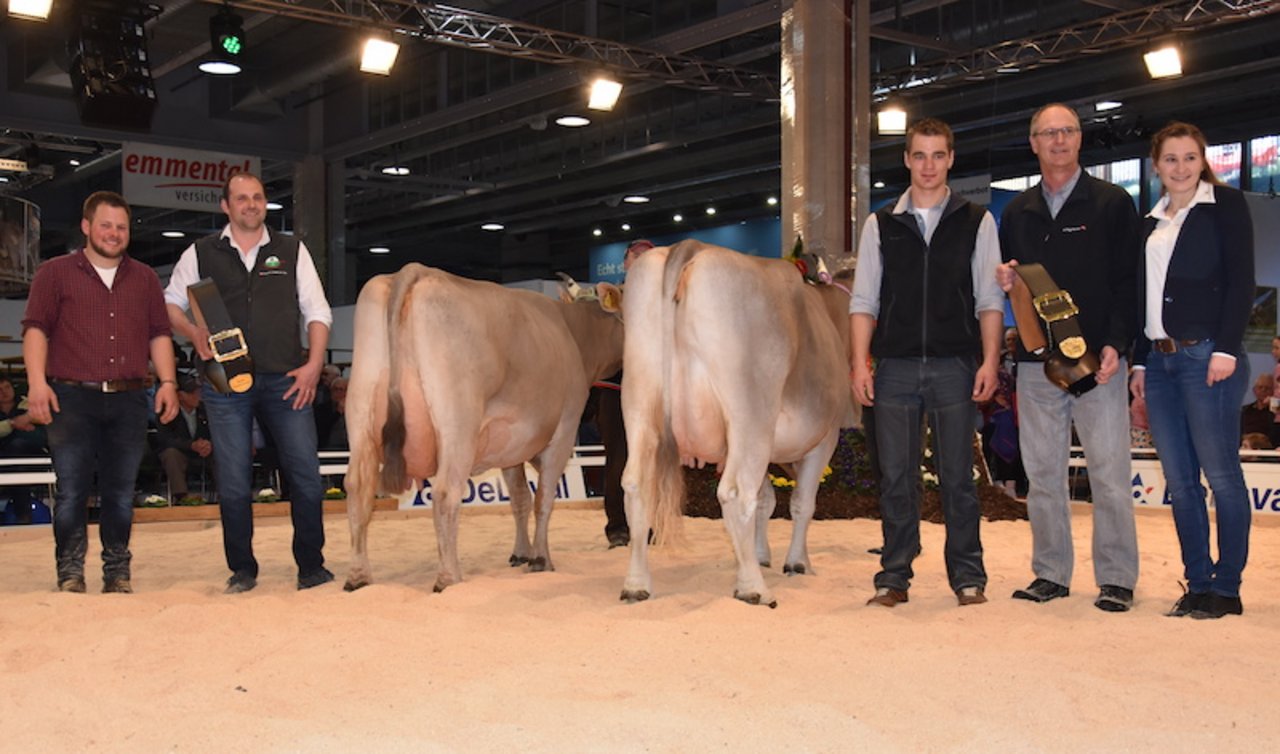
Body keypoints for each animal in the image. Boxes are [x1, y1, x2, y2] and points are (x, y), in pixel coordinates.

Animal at [340, 261, 619, 591]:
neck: (574, 334)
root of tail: (415, 270)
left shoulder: (511, 443)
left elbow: (520, 499)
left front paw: (521, 553)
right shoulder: (564, 430)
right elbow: (544, 499)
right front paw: (541, 559)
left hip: (361, 415)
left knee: (357, 488)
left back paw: (358, 576)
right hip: (458, 425)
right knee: (445, 494)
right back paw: (449, 578)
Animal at [622, 240, 860, 606]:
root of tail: (690, 246)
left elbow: (765, 501)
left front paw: (761, 556)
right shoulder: (825, 437)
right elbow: (802, 503)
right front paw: (797, 562)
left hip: (639, 403)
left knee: (636, 485)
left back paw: (636, 584)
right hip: (751, 416)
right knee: (735, 493)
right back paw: (753, 589)